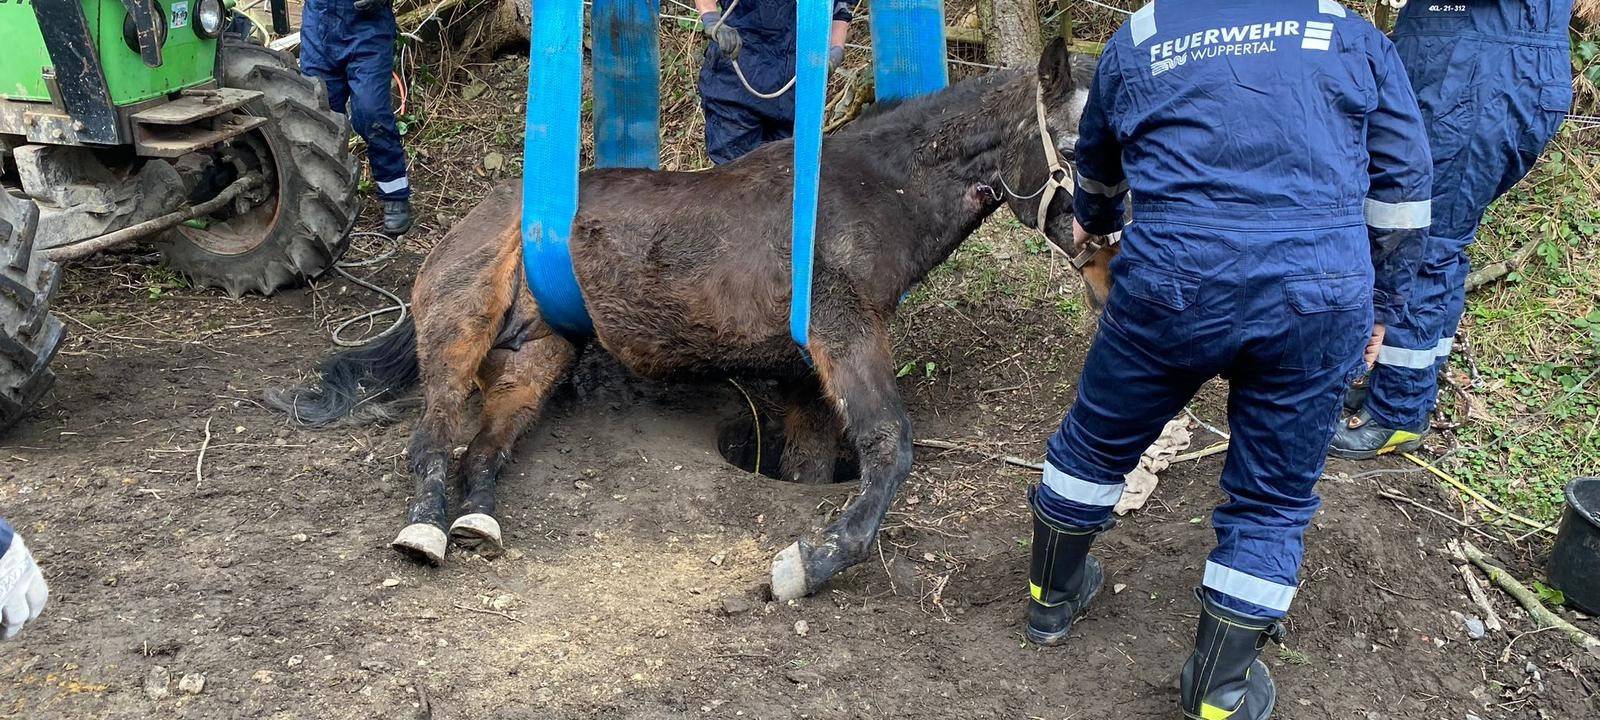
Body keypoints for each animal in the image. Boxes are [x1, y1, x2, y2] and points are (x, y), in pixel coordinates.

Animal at [272, 39, 1110, 601]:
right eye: (1076, 148)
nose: (1109, 278)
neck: (863, 195)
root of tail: (478, 219)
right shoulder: (846, 337)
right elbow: (889, 447)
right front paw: (810, 563)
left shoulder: (805, 374)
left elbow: (814, 462)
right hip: (459, 333)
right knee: (433, 439)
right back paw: (424, 532)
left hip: (534, 361)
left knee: (484, 450)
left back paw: (477, 522)